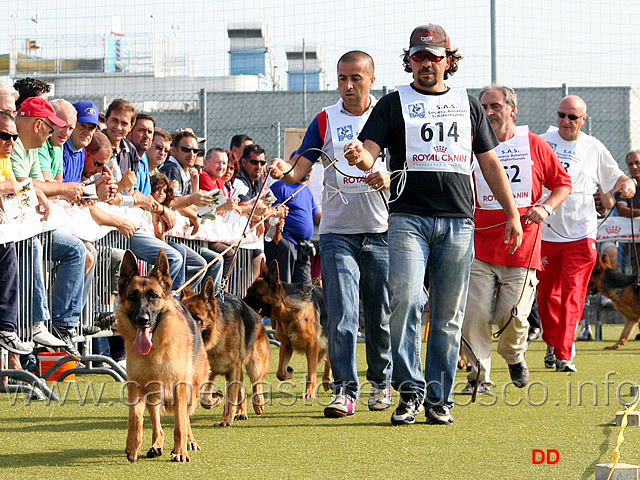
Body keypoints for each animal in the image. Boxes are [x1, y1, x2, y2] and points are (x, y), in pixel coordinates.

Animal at [117, 249, 210, 464]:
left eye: (154, 296)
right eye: (132, 296)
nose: (142, 320)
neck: (155, 350)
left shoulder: (179, 386)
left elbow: (180, 422)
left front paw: (180, 451)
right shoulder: (136, 385)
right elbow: (135, 418)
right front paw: (132, 447)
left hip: (191, 389)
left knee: (185, 416)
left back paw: (188, 442)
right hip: (153, 393)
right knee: (157, 423)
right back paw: (156, 445)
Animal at [180, 278, 270, 428]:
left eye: (197, 318)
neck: (216, 339)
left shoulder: (233, 369)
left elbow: (231, 397)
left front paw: (226, 419)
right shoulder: (210, 373)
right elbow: (205, 398)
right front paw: (216, 399)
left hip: (254, 365)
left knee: (256, 382)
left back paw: (258, 403)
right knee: (242, 389)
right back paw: (241, 412)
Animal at [244, 258, 330, 398]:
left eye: (255, 294)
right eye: (247, 291)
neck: (290, 312)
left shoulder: (312, 346)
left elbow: (311, 372)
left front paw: (309, 392)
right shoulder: (286, 345)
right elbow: (280, 372)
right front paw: (289, 372)